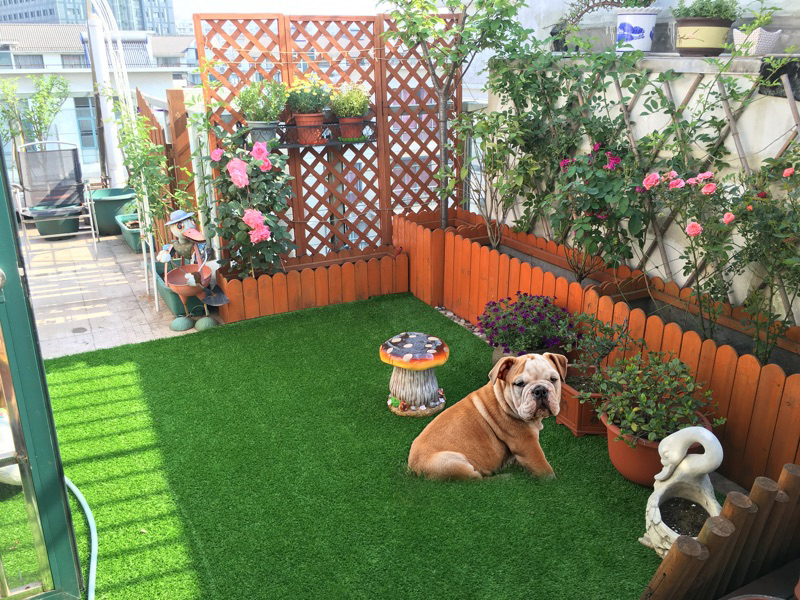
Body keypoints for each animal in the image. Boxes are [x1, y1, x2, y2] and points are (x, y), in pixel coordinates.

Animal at [408, 353, 567, 481]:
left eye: (554, 379)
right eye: (519, 384)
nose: (540, 390)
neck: (503, 398)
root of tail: (412, 469)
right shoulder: (527, 444)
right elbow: (543, 467)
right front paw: (553, 482)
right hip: (453, 463)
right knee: (477, 480)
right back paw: (503, 478)